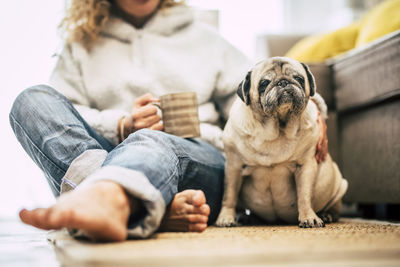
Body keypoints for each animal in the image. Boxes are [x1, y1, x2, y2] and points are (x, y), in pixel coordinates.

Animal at [216, 56, 346, 228]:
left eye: (299, 78)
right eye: (264, 83)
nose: (283, 82)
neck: (277, 129)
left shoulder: (305, 166)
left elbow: (305, 195)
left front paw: (309, 217)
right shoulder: (234, 166)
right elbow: (229, 195)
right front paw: (226, 217)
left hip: (340, 186)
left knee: (335, 208)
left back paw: (326, 215)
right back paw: (247, 217)